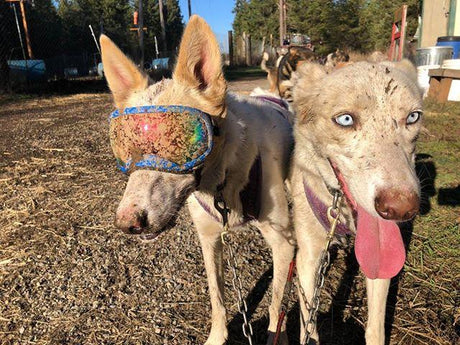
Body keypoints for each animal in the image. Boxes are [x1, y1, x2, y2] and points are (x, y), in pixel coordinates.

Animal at [100, 14, 294, 344]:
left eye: (181, 140)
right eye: (126, 144)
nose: (127, 223)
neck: (223, 183)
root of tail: (273, 94)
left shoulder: (283, 246)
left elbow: (275, 307)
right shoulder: (209, 241)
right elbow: (218, 299)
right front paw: (218, 336)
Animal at [290, 58, 422, 342]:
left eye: (413, 117)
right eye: (345, 119)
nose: (400, 208)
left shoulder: (381, 266)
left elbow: (375, 328)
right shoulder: (307, 259)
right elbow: (308, 323)